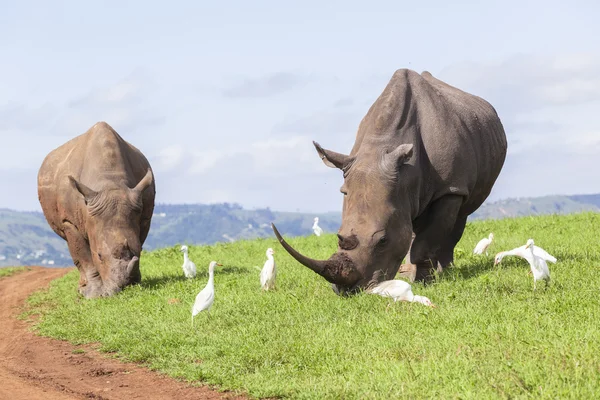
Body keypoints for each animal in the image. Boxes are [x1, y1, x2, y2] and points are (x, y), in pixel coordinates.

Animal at [37, 121, 155, 296]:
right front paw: (94, 295)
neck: (110, 182)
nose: (124, 287)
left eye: (140, 251)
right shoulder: (69, 221)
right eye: (99, 255)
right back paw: (82, 289)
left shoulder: (144, 214)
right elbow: (84, 255)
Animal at [274, 68, 508, 294]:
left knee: (459, 216)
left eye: (382, 241)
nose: (347, 291)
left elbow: (427, 240)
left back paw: (445, 270)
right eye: (339, 236)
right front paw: (415, 278)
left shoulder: (450, 187)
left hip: (461, 181)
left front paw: (425, 282)